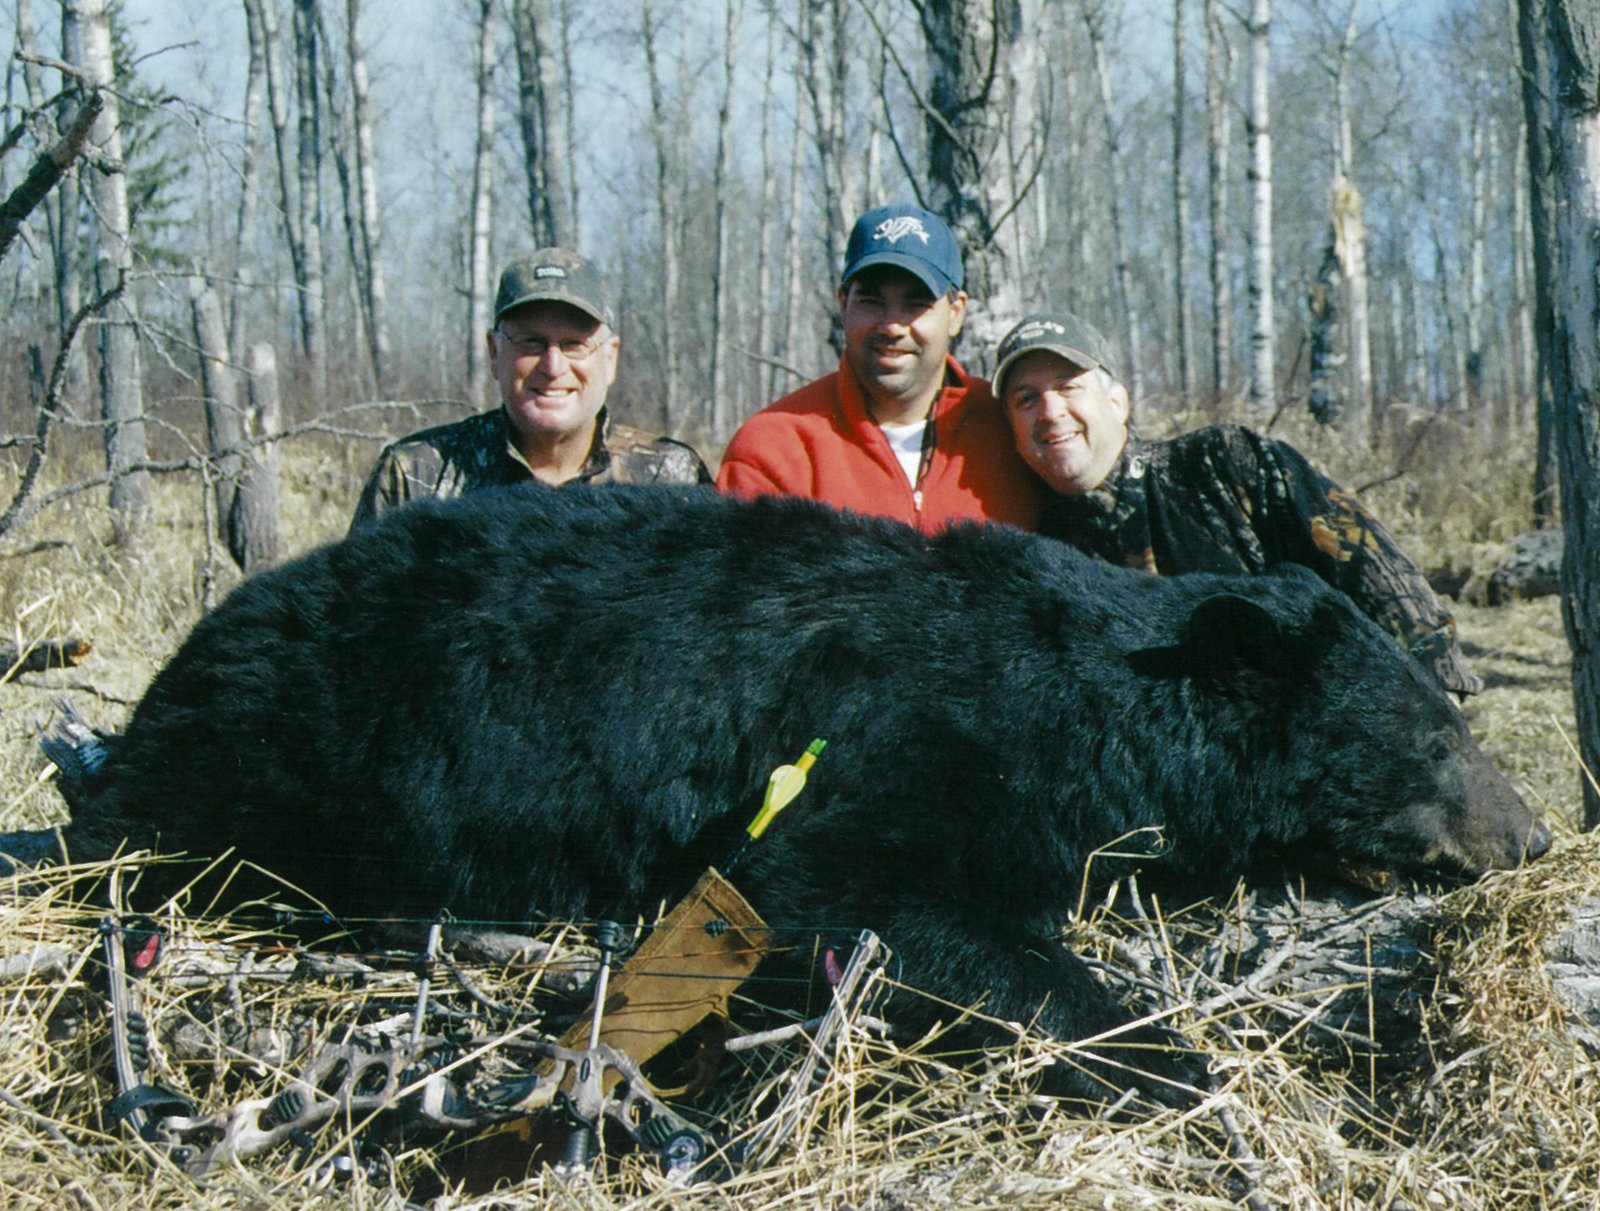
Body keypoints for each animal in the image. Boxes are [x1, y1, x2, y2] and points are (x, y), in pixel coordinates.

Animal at [7, 485, 1549, 1106]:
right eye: (1430, 732)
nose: (1531, 828)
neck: (1091, 703)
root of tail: (170, 675)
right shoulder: (884, 744)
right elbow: (862, 894)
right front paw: (1168, 1056)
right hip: (284, 749)